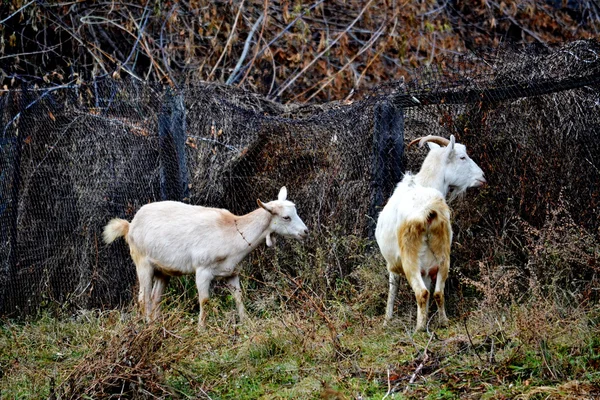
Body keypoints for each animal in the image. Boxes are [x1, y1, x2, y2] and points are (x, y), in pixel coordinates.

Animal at [103, 186, 308, 326]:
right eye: (286, 217)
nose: (305, 232)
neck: (231, 232)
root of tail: (130, 225)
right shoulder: (202, 271)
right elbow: (205, 301)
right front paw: (201, 329)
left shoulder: (231, 272)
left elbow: (239, 298)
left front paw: (246, 324)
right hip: (142, 262)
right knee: (143, 298)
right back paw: (148, 326)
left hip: (163, 270)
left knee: (155, 298)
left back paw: (158, 325)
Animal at [376, 135, 488, 332]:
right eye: (462, 157)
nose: (482, 177)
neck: (424, 182)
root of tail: (428, 211)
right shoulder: (428, 270)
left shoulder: (393, 264)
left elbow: (393, 289)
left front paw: (387, 320)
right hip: (443, 256)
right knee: (437, 292)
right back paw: (443, 322)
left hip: (410, 259)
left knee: (422, 293)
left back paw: (419, 329)